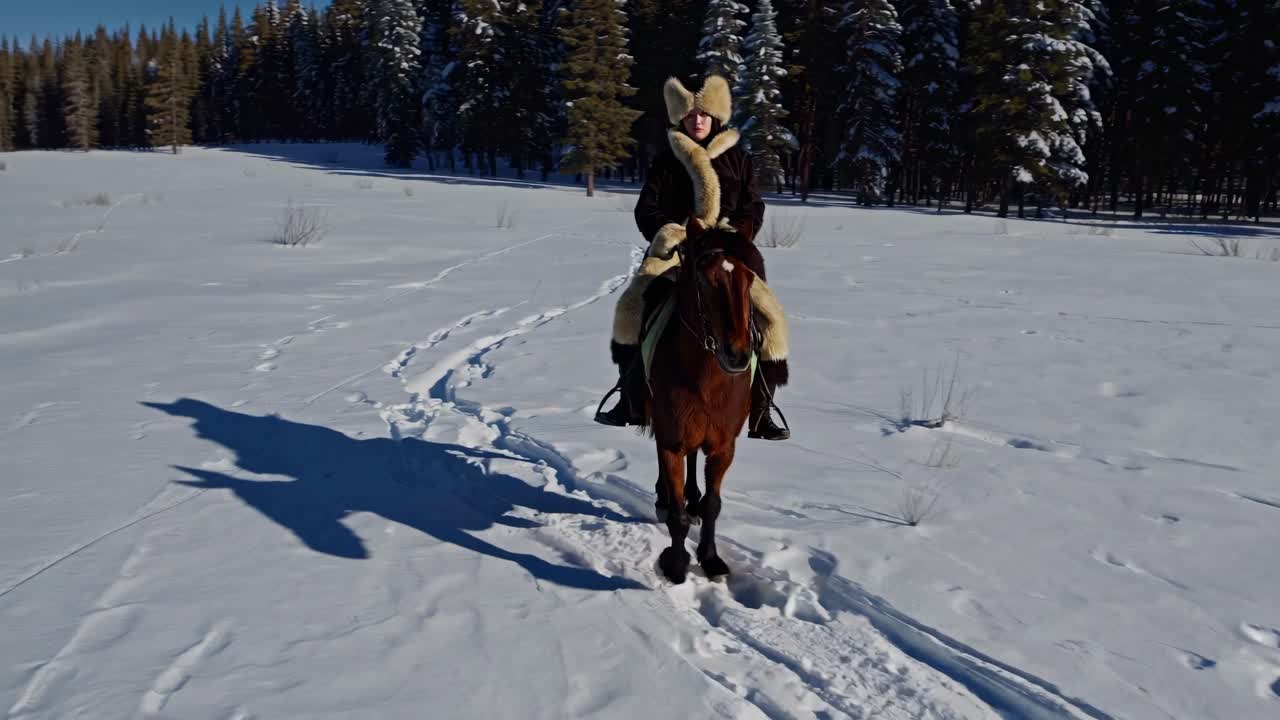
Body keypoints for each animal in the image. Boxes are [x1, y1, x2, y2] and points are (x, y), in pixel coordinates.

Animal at [638, 218, 764, 584]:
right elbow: (677, 515)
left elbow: (712, 505)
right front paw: (677, 564)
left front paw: (710, 558)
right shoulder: (671, 440)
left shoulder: (723, 446)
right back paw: (666, 499)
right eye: (705, 280)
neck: (707, 379)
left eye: (749, 278)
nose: (738, 354)